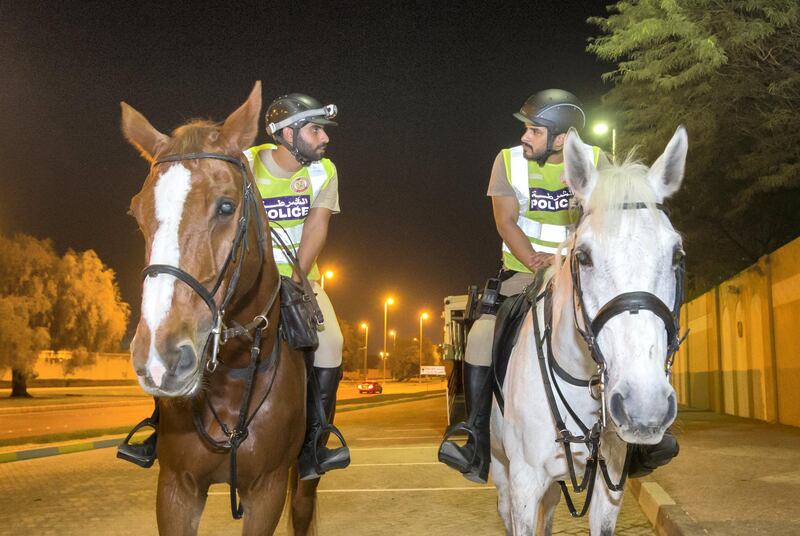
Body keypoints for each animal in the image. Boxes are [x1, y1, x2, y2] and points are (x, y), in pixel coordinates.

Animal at [123, 81, 318, 532]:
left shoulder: (268, 491)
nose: (159, 358)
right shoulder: (176, 488)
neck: (233, 376)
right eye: (137, 213)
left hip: (303, 481)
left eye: (227, 206)